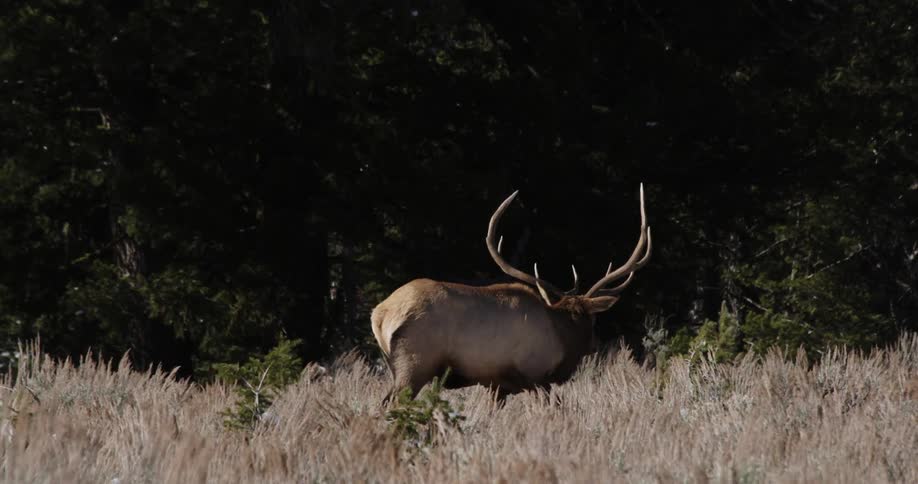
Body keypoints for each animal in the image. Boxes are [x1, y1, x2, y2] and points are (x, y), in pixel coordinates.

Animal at [371, 185, 651, 402]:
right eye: (593, 320)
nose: (595, 344)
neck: (561, 333)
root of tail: (380, 315)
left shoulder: (497, 385)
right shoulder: (534, 375)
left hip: (394, 364)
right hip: (415, 363)